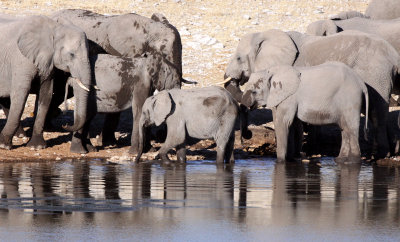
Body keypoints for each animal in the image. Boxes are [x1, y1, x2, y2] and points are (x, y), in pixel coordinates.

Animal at [0, 14, 91, 149]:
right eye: (71, 54)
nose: (65, 125)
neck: (54, 28)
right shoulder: (21, 59)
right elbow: (21, 94)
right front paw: (4, 145)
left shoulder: (48, 62)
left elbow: (46, 94)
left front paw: (36, 146)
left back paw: (20, 135)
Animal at [223, 29, 400, 159]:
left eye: (238, 58)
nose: (247, 135)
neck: (264, 34)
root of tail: (394, 56)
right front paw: (298, 154)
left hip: (376, 75)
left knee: (377, 113)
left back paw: (379, 154)